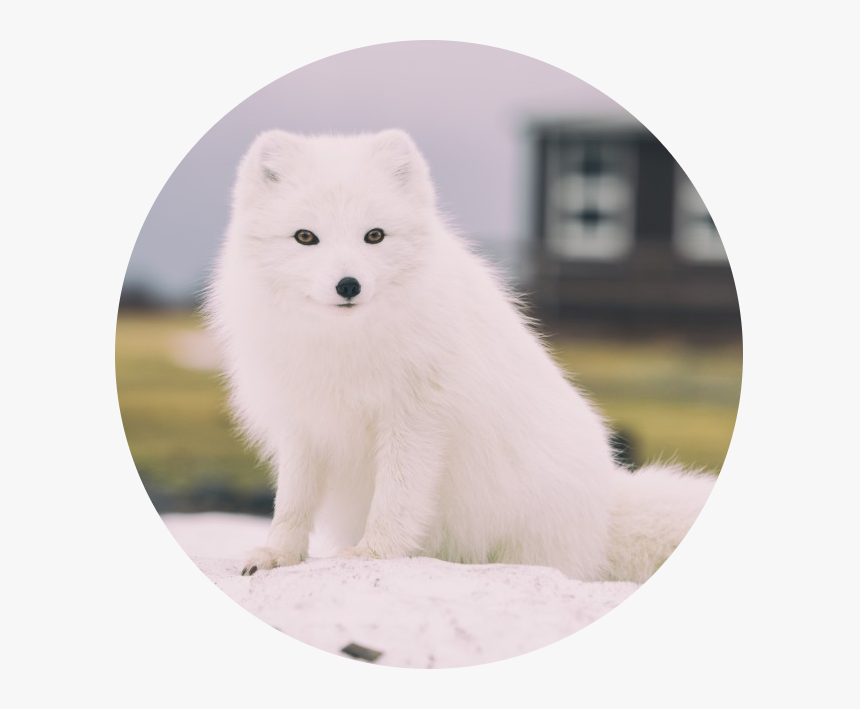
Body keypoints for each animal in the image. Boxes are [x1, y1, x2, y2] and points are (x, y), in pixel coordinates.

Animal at [205, 128, 715, 583]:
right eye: (305, 237)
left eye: (375, 236)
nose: (348, 285)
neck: (343, 346)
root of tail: (607, 508)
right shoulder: (301, 424)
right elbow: (290, 503)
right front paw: (275, 556)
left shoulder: (415, 418)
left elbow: (396, 498)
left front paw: (372, 556)